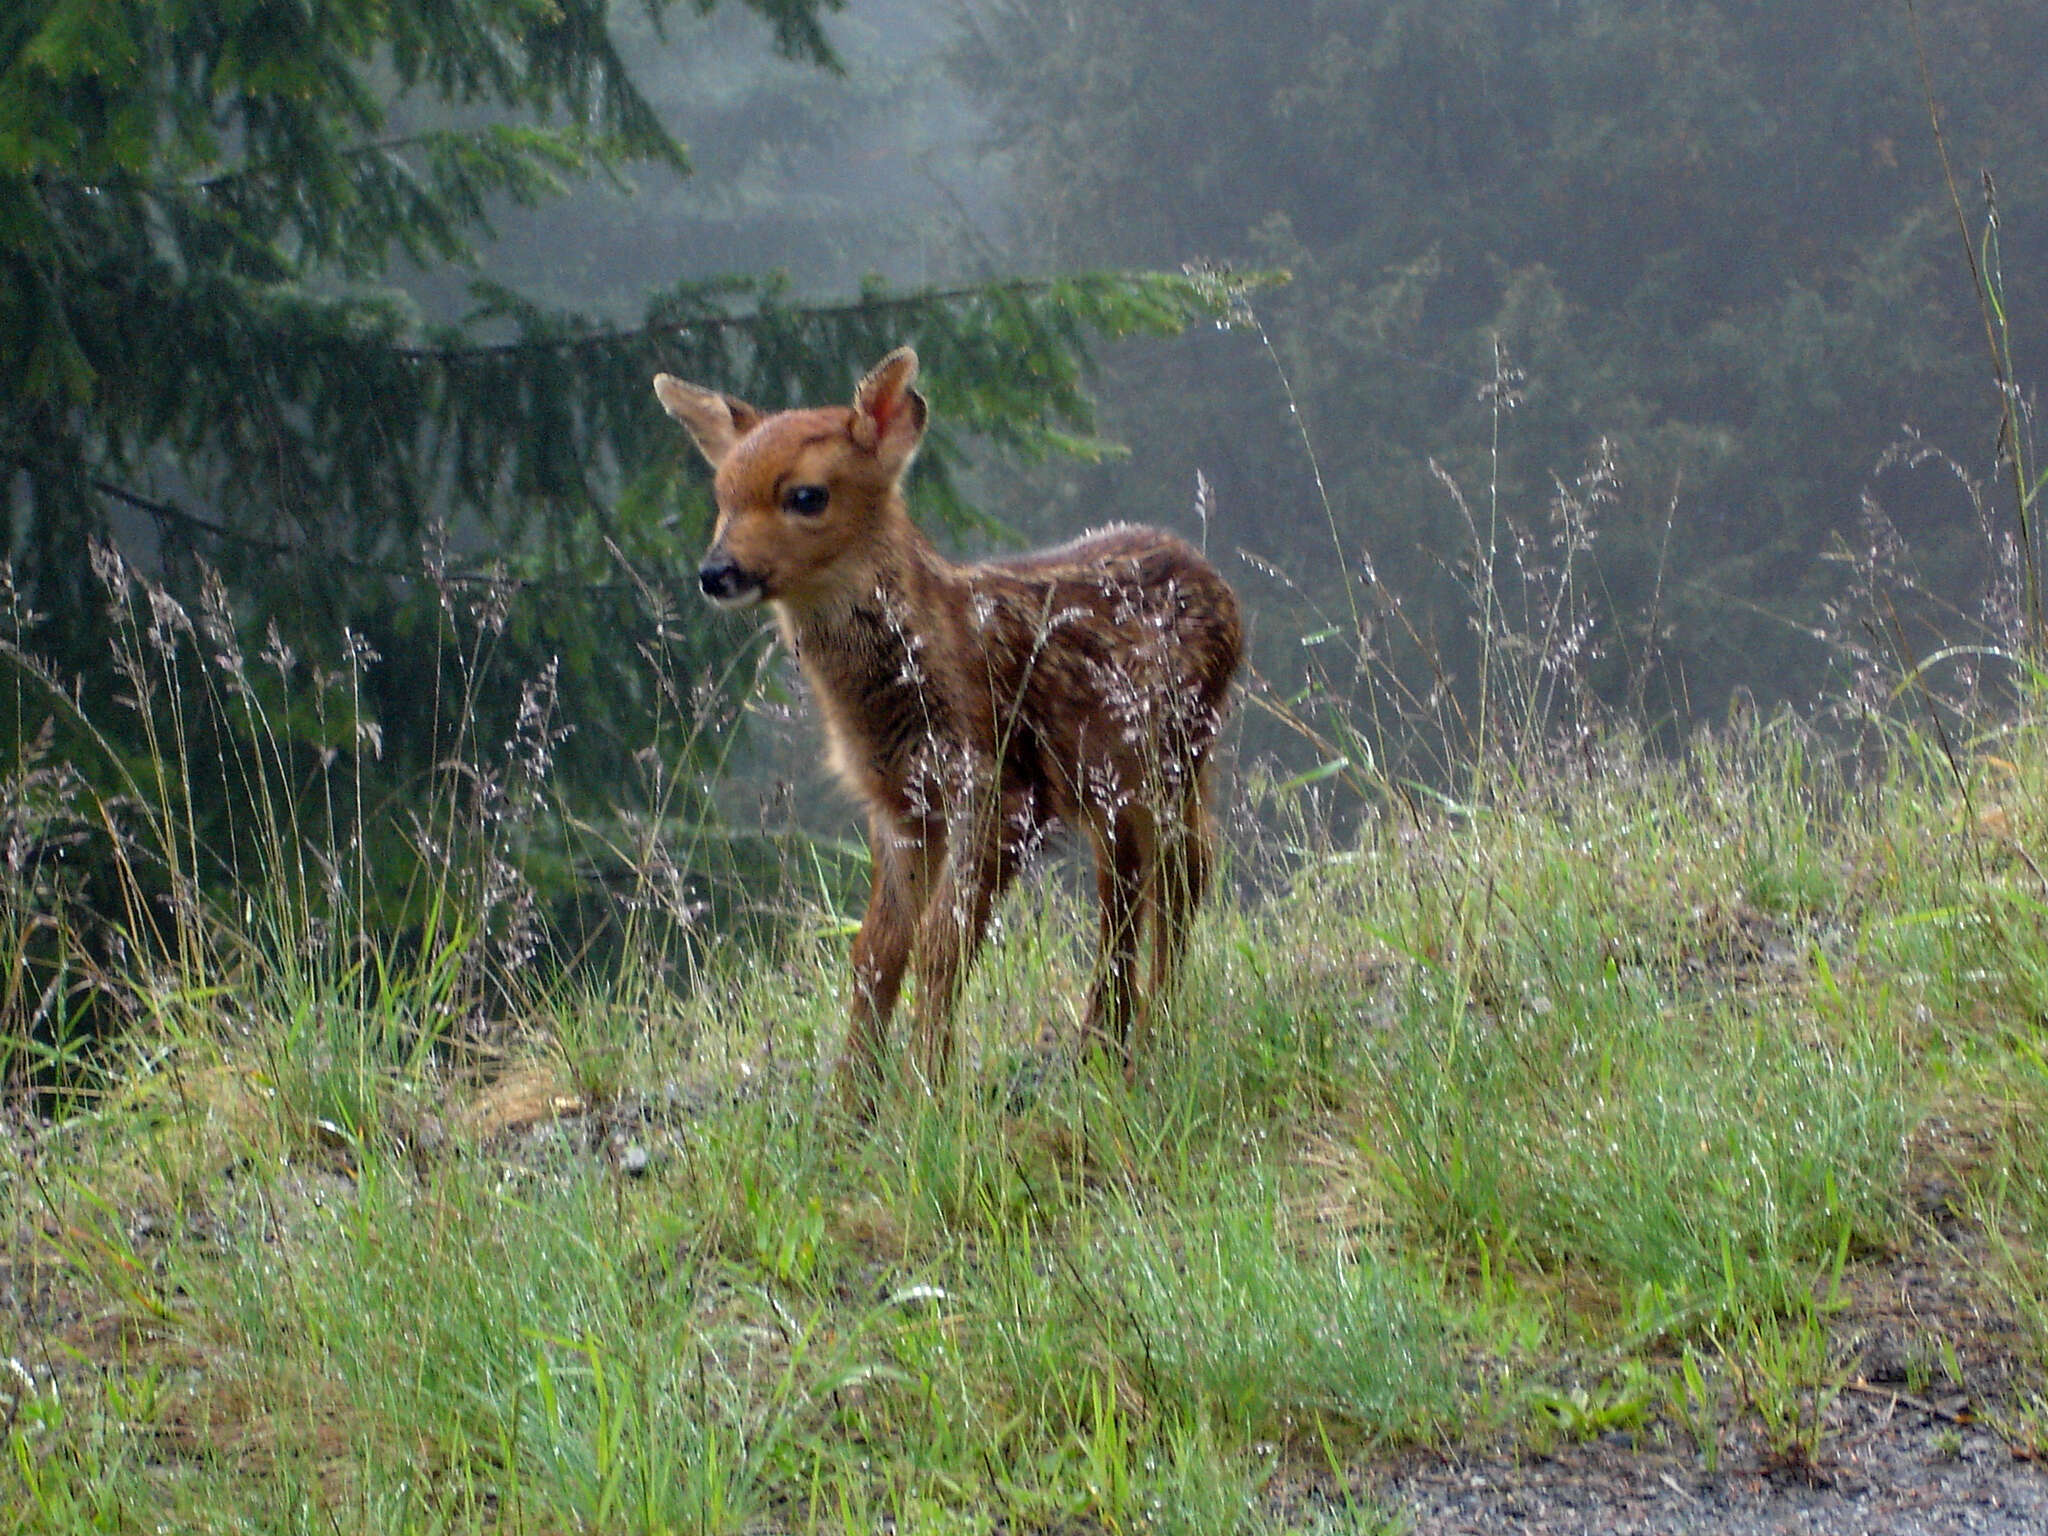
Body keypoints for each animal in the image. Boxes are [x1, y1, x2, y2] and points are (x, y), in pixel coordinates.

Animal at [655, 352, 1236, 1105]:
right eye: (721, 495)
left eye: (807, 496)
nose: (717, 571)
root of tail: (1225, 591)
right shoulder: (899, 803)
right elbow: (875, 951)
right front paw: (849, 1106)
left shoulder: (998, 787)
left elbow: (943, 943)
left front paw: (926, 1091)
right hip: (1111, 782)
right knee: (1136, 881)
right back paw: (1105, 1048)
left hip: (1169, 752)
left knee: (1179, 871)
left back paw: (1152, 1040)